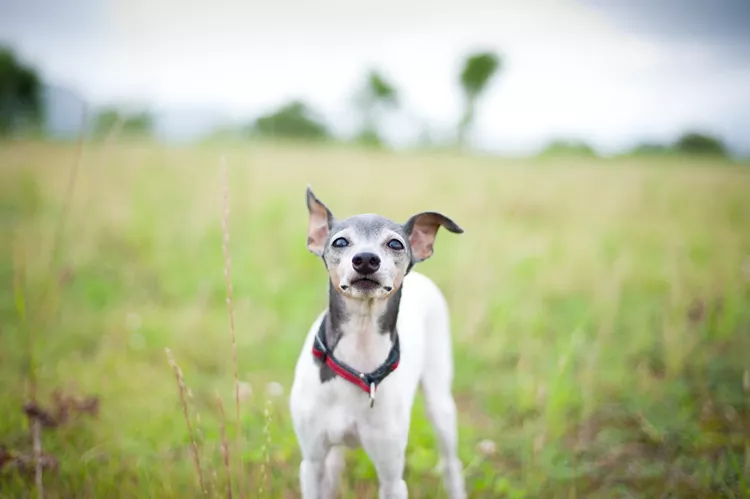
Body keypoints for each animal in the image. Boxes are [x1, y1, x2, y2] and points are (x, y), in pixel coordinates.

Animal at [290, 188, 468, 499]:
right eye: (340, 241)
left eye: (395, 243)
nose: (365, 259)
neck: (358, 361)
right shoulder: (311, 463)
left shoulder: (392, 477)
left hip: (440, 403)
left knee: (450, 463)